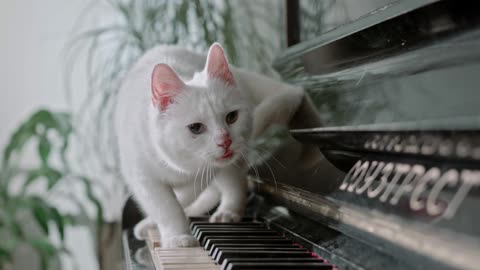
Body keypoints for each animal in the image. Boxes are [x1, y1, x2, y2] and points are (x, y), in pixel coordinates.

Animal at [115, 43, 304, 248]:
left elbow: (181, 199)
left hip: (232, 163)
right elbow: (167, 207)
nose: (225, 141)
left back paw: (227, 212)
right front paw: (177, 236)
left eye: (232, 117)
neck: (177, 166)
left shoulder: (204, 173)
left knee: (233, 184)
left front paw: (174, 232)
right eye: (196, 128)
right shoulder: (143, 178)